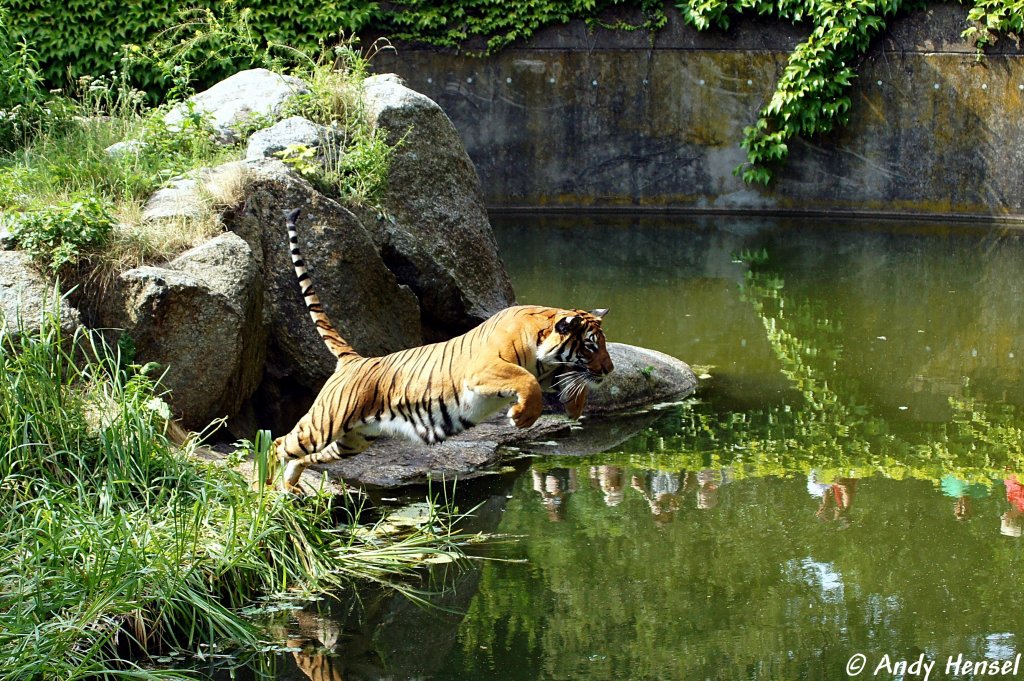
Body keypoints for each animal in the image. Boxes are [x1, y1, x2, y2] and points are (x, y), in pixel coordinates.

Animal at [268, 208, 610, 493]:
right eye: (591, 345)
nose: (609, 370)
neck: (540, 344)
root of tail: (355, 360)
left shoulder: (545, 369)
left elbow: (567, 380)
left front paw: (574, 407)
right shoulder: (486, 370)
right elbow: (526, 381)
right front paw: (522, 417)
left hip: (352, 440)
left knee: (304, 456)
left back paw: (290, 484)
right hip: (324, 423)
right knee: (279, 443)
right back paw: (267, 487)